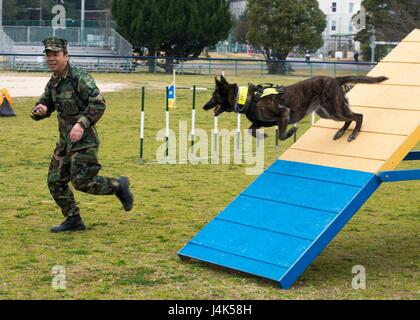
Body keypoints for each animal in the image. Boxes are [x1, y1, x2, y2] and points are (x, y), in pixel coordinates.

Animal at [203, 75, 388, 141]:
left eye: (214, 96)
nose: (204, 106)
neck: (248, 98)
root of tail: (335, 79)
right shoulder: (258, 122)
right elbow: (251, 130)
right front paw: (262, 136)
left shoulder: (283, 115)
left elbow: (282, 135)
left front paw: (291, 132)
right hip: (328, 112)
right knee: (349, 118)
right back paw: (341, 132)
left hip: (334, 109)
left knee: (358, 116)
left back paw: (353, 134)